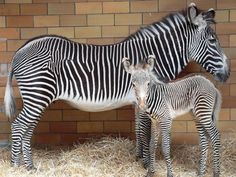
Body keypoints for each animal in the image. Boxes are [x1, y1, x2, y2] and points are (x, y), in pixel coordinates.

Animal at [3, 3, 229, 169]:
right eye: (212, 40)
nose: (227, 74)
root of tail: (20, 50)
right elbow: (146, 130)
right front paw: (147, 164)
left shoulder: (140, 100)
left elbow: (139, 129)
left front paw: (139, 158)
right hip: (37, 94)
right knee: (18, 126)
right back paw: (15, 167)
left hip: (37, 97)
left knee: (27, 129)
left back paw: (29, 166)